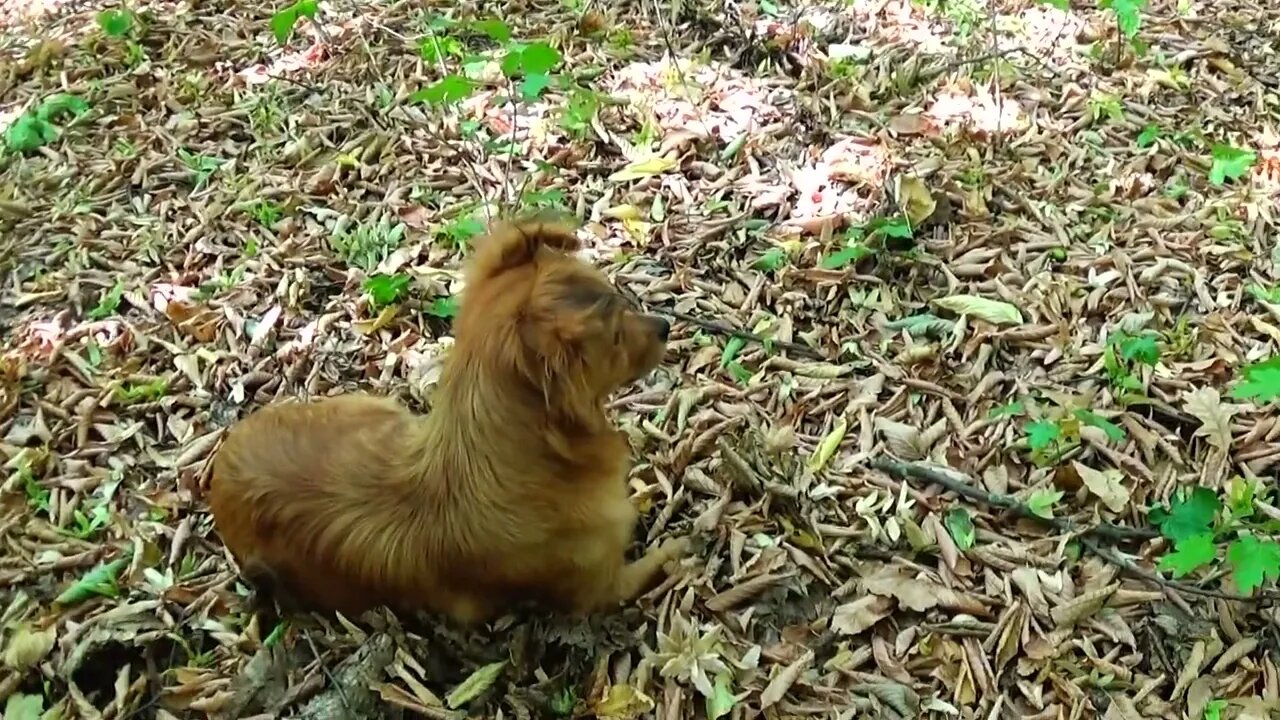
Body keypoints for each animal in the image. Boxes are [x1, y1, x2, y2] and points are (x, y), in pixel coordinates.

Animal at [207, 215, 691, 620]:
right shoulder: (604, 585)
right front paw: (682, 543)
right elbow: (663, 556)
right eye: (615, 339)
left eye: (619, 297)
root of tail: (220, 465)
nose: (665, 326)